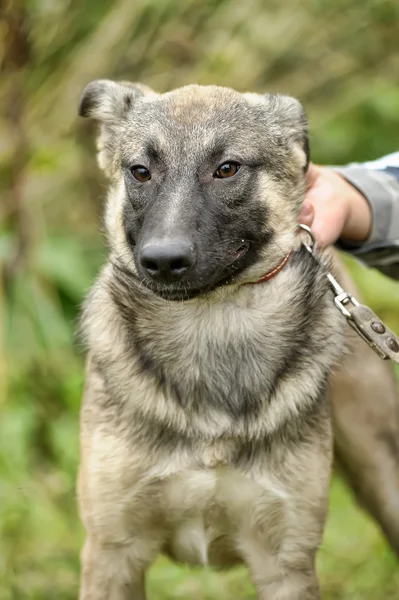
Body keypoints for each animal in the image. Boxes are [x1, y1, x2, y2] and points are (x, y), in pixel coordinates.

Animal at [77, 81, 399, 600]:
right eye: (140, 172)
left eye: (226, 168)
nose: (162, 260)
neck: (212, 321)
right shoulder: (112, 553)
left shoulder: (285, 560)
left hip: (383, 473)